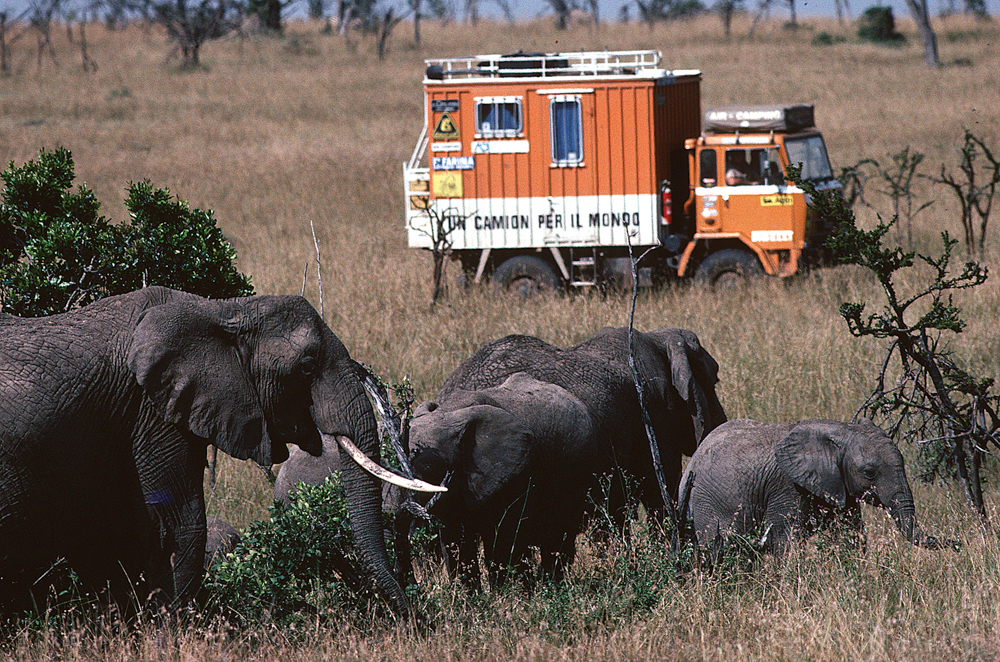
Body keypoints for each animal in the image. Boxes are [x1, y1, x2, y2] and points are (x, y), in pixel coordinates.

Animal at [0, 288, 434, 620]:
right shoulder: (152, 412)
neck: (223, 312)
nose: (415, 621)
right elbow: (181, 522)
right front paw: (170, 634)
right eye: (307, 367)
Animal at [404, 374, 596, 588]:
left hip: (577, 471)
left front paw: (504, 593)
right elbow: (455, 542)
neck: (450, 412)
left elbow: (504, 541)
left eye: (428, 468)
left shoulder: (518, 472)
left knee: (556, 539)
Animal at [680, 420, 944, 556]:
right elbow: (785, 540)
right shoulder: (787, 486)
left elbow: (850, 535)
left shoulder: (838, 485)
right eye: (869, 472)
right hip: (705, 503)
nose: (952, 543)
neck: (839, 431)